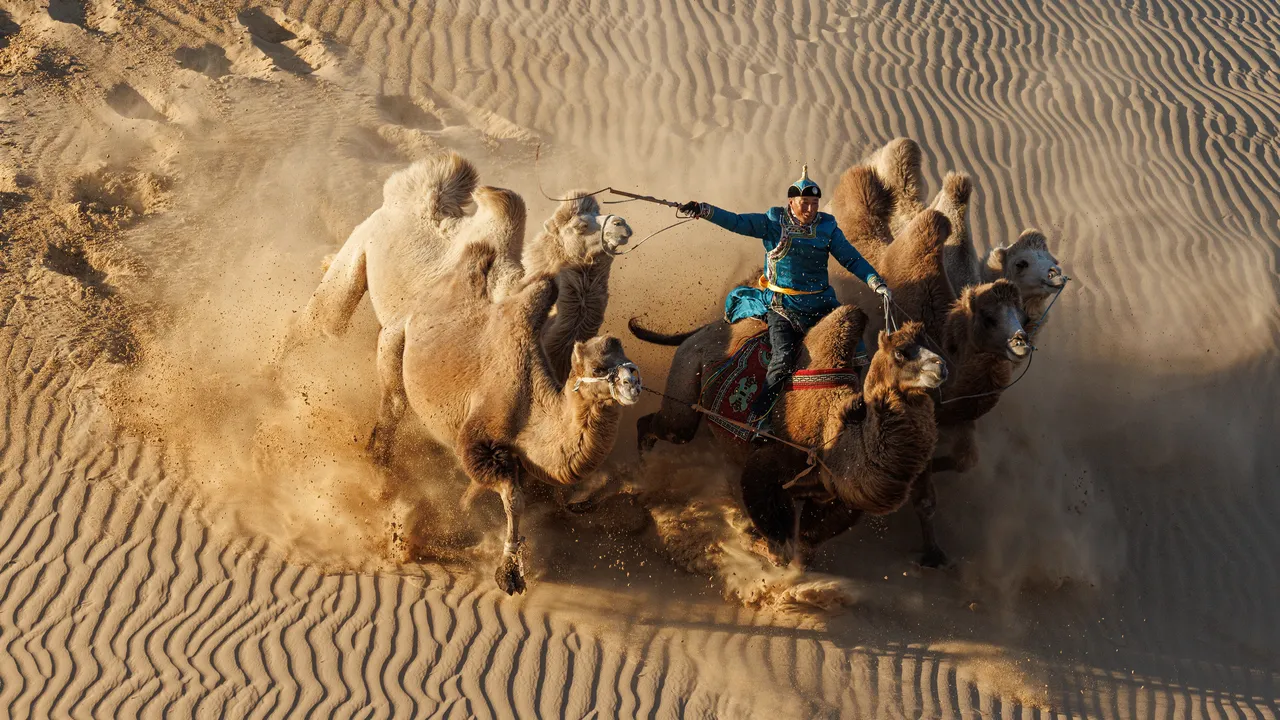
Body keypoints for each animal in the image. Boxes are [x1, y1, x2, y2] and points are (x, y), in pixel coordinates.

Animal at [629, 308, 946, 566]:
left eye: (931, 345)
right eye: (901, 352)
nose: (941, 367)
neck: (832, 435)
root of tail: (702, 329)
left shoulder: (829, 498)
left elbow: (805, 543)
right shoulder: (767, 466)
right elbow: (781, 543)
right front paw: (756, 547)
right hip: (685, 382)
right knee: (663, 426)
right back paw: (644, 474)